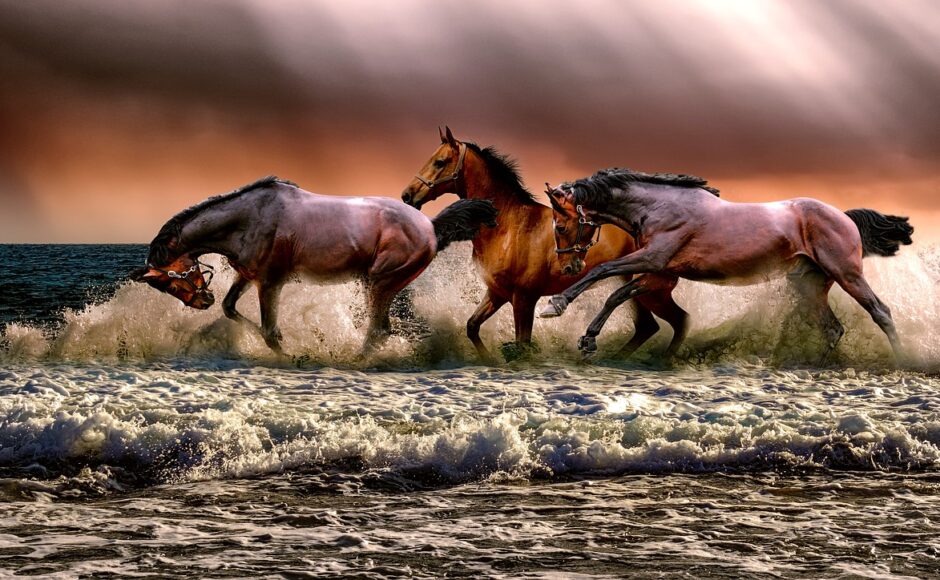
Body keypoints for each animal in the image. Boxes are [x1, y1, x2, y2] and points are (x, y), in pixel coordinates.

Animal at [131, 176, 497, 355]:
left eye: (171, 279)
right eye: (164, 286)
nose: (200, 301)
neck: (248, 219)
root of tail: (431, 226)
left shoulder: (270, 283)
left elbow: (269, 332)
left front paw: (292, 355)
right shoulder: (247, 276)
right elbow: (230, 308)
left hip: (380, 282)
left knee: (378, 331)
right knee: (381, 330)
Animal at [401, 126, 690, 361]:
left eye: (439, 162)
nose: (407, 195)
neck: (509, 227)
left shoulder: (523, 298)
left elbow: (522, 344)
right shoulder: (497, 294)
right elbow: (472, 327)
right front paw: (489, 360)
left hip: (651, 290)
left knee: (677, 321)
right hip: (636, 290)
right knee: (649, 326)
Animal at [541, 168, 914, 362]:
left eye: (560, 226)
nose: (569, 266)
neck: (658, 207)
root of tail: (844, 216)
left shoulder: (654, 259)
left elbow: (602, 272)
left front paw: (555, 305)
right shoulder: (660, 273)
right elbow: (616, 295)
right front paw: (588, 339)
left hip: (846, 274)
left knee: (881, 312)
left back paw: (903, 359)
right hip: (809, 284)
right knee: (833, 328)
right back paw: (816, 366)